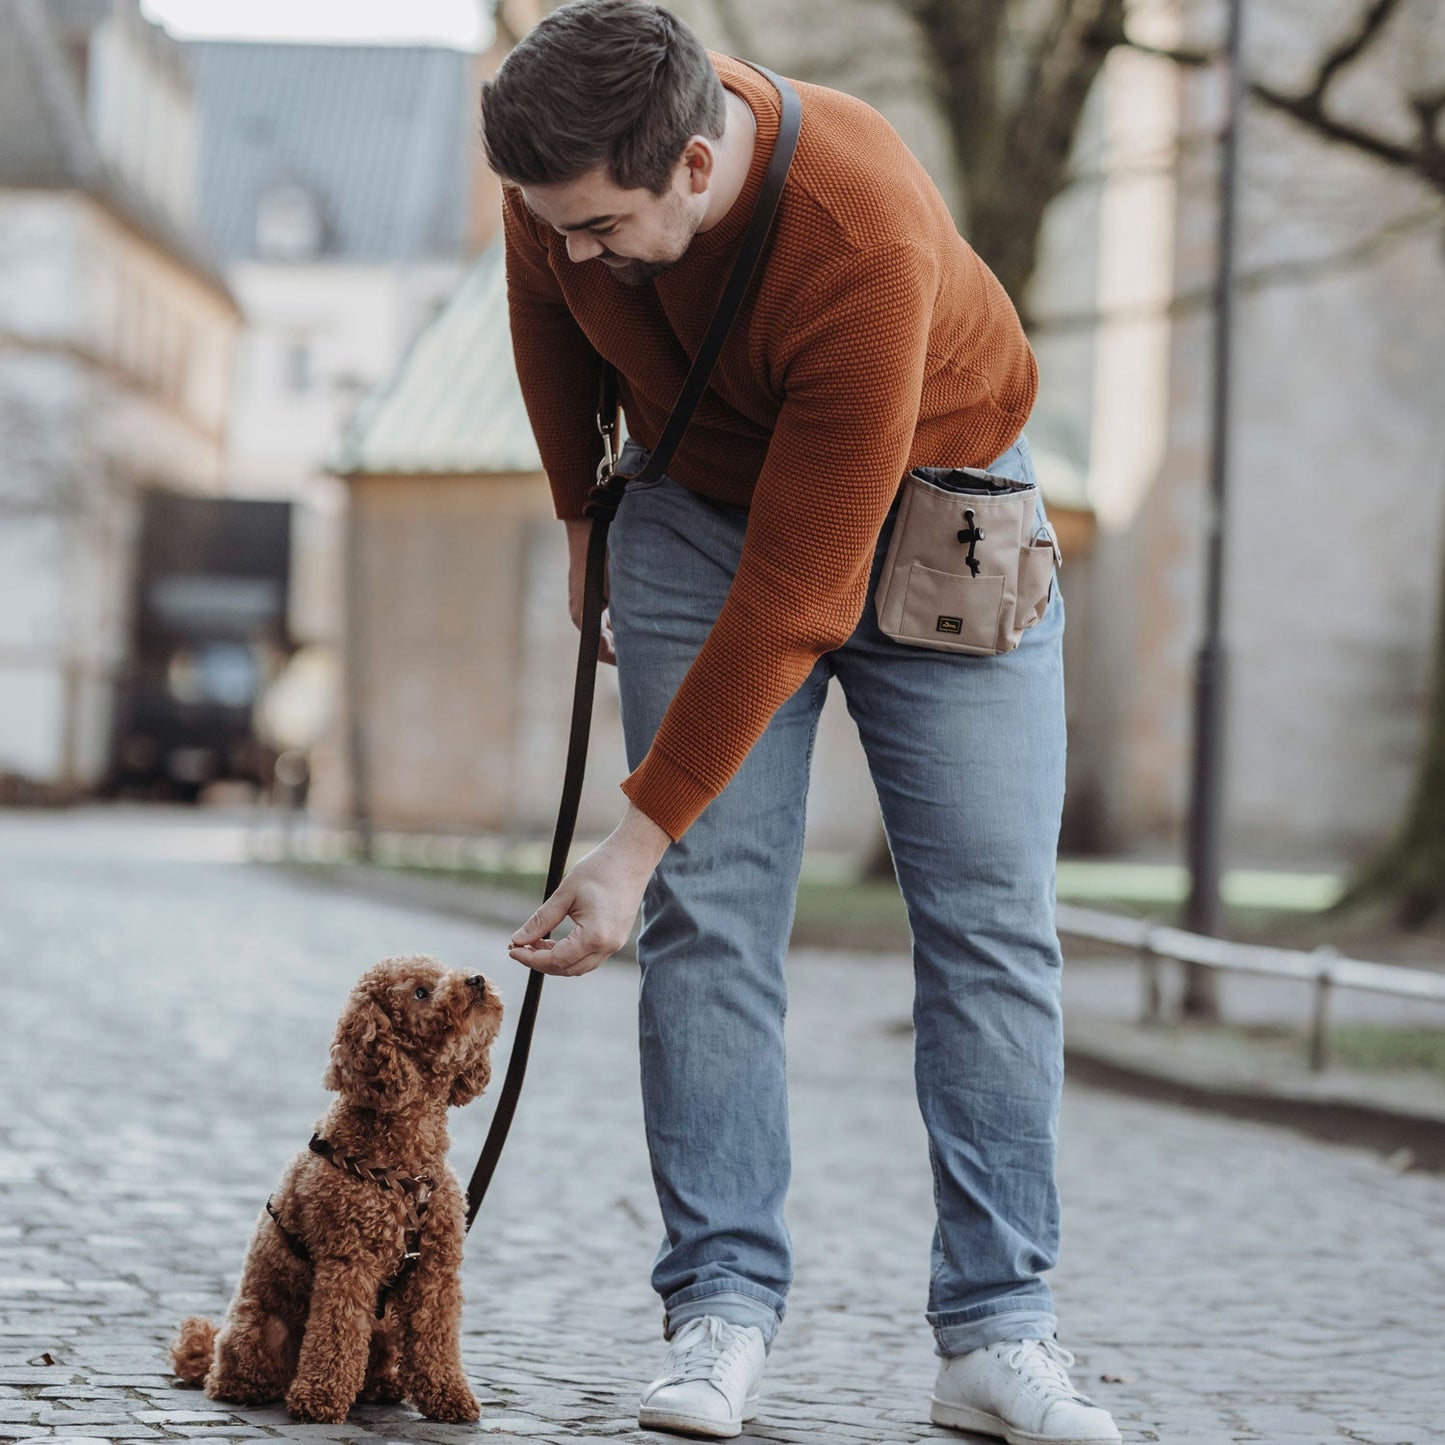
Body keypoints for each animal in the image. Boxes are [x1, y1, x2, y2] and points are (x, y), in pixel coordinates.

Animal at [171, 953, 502, 1427]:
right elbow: (337, 1336)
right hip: (258, 1328)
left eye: (444, 971)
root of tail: (214, 1353)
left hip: (386, 1325)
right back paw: (251, 1388)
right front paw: (320, 1399)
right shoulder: (349, 1263)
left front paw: (450, 1398)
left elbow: (437, 1341)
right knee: (238, 1375)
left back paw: (382, 1386)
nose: (475, 980)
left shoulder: (436, 1271)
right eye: (420, 992)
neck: (408, 1162)